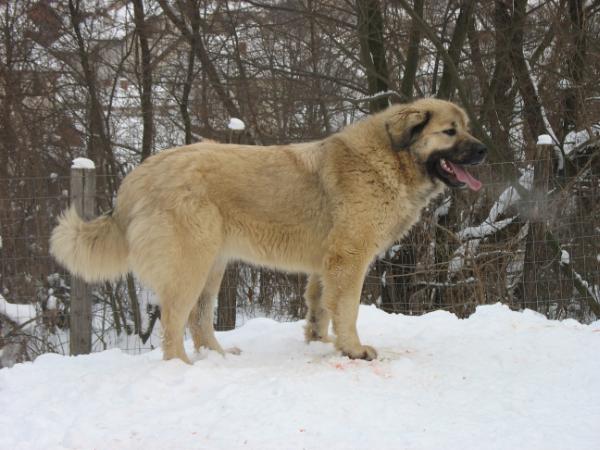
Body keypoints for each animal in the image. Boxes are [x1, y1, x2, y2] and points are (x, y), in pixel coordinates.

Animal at [49, 97, 486, 362]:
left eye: (467, 127)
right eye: (450, 132)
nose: (484, 149)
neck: (390, 159)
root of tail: (136, 178)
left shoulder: (325, 263)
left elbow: (319, 306)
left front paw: (320, 341)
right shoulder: (349, 257)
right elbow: (346, 309)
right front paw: (354, 349)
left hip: (213, 265)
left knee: (198, 320)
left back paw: (218, 358)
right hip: (190, 264)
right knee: (174, 324)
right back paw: (183, 367)